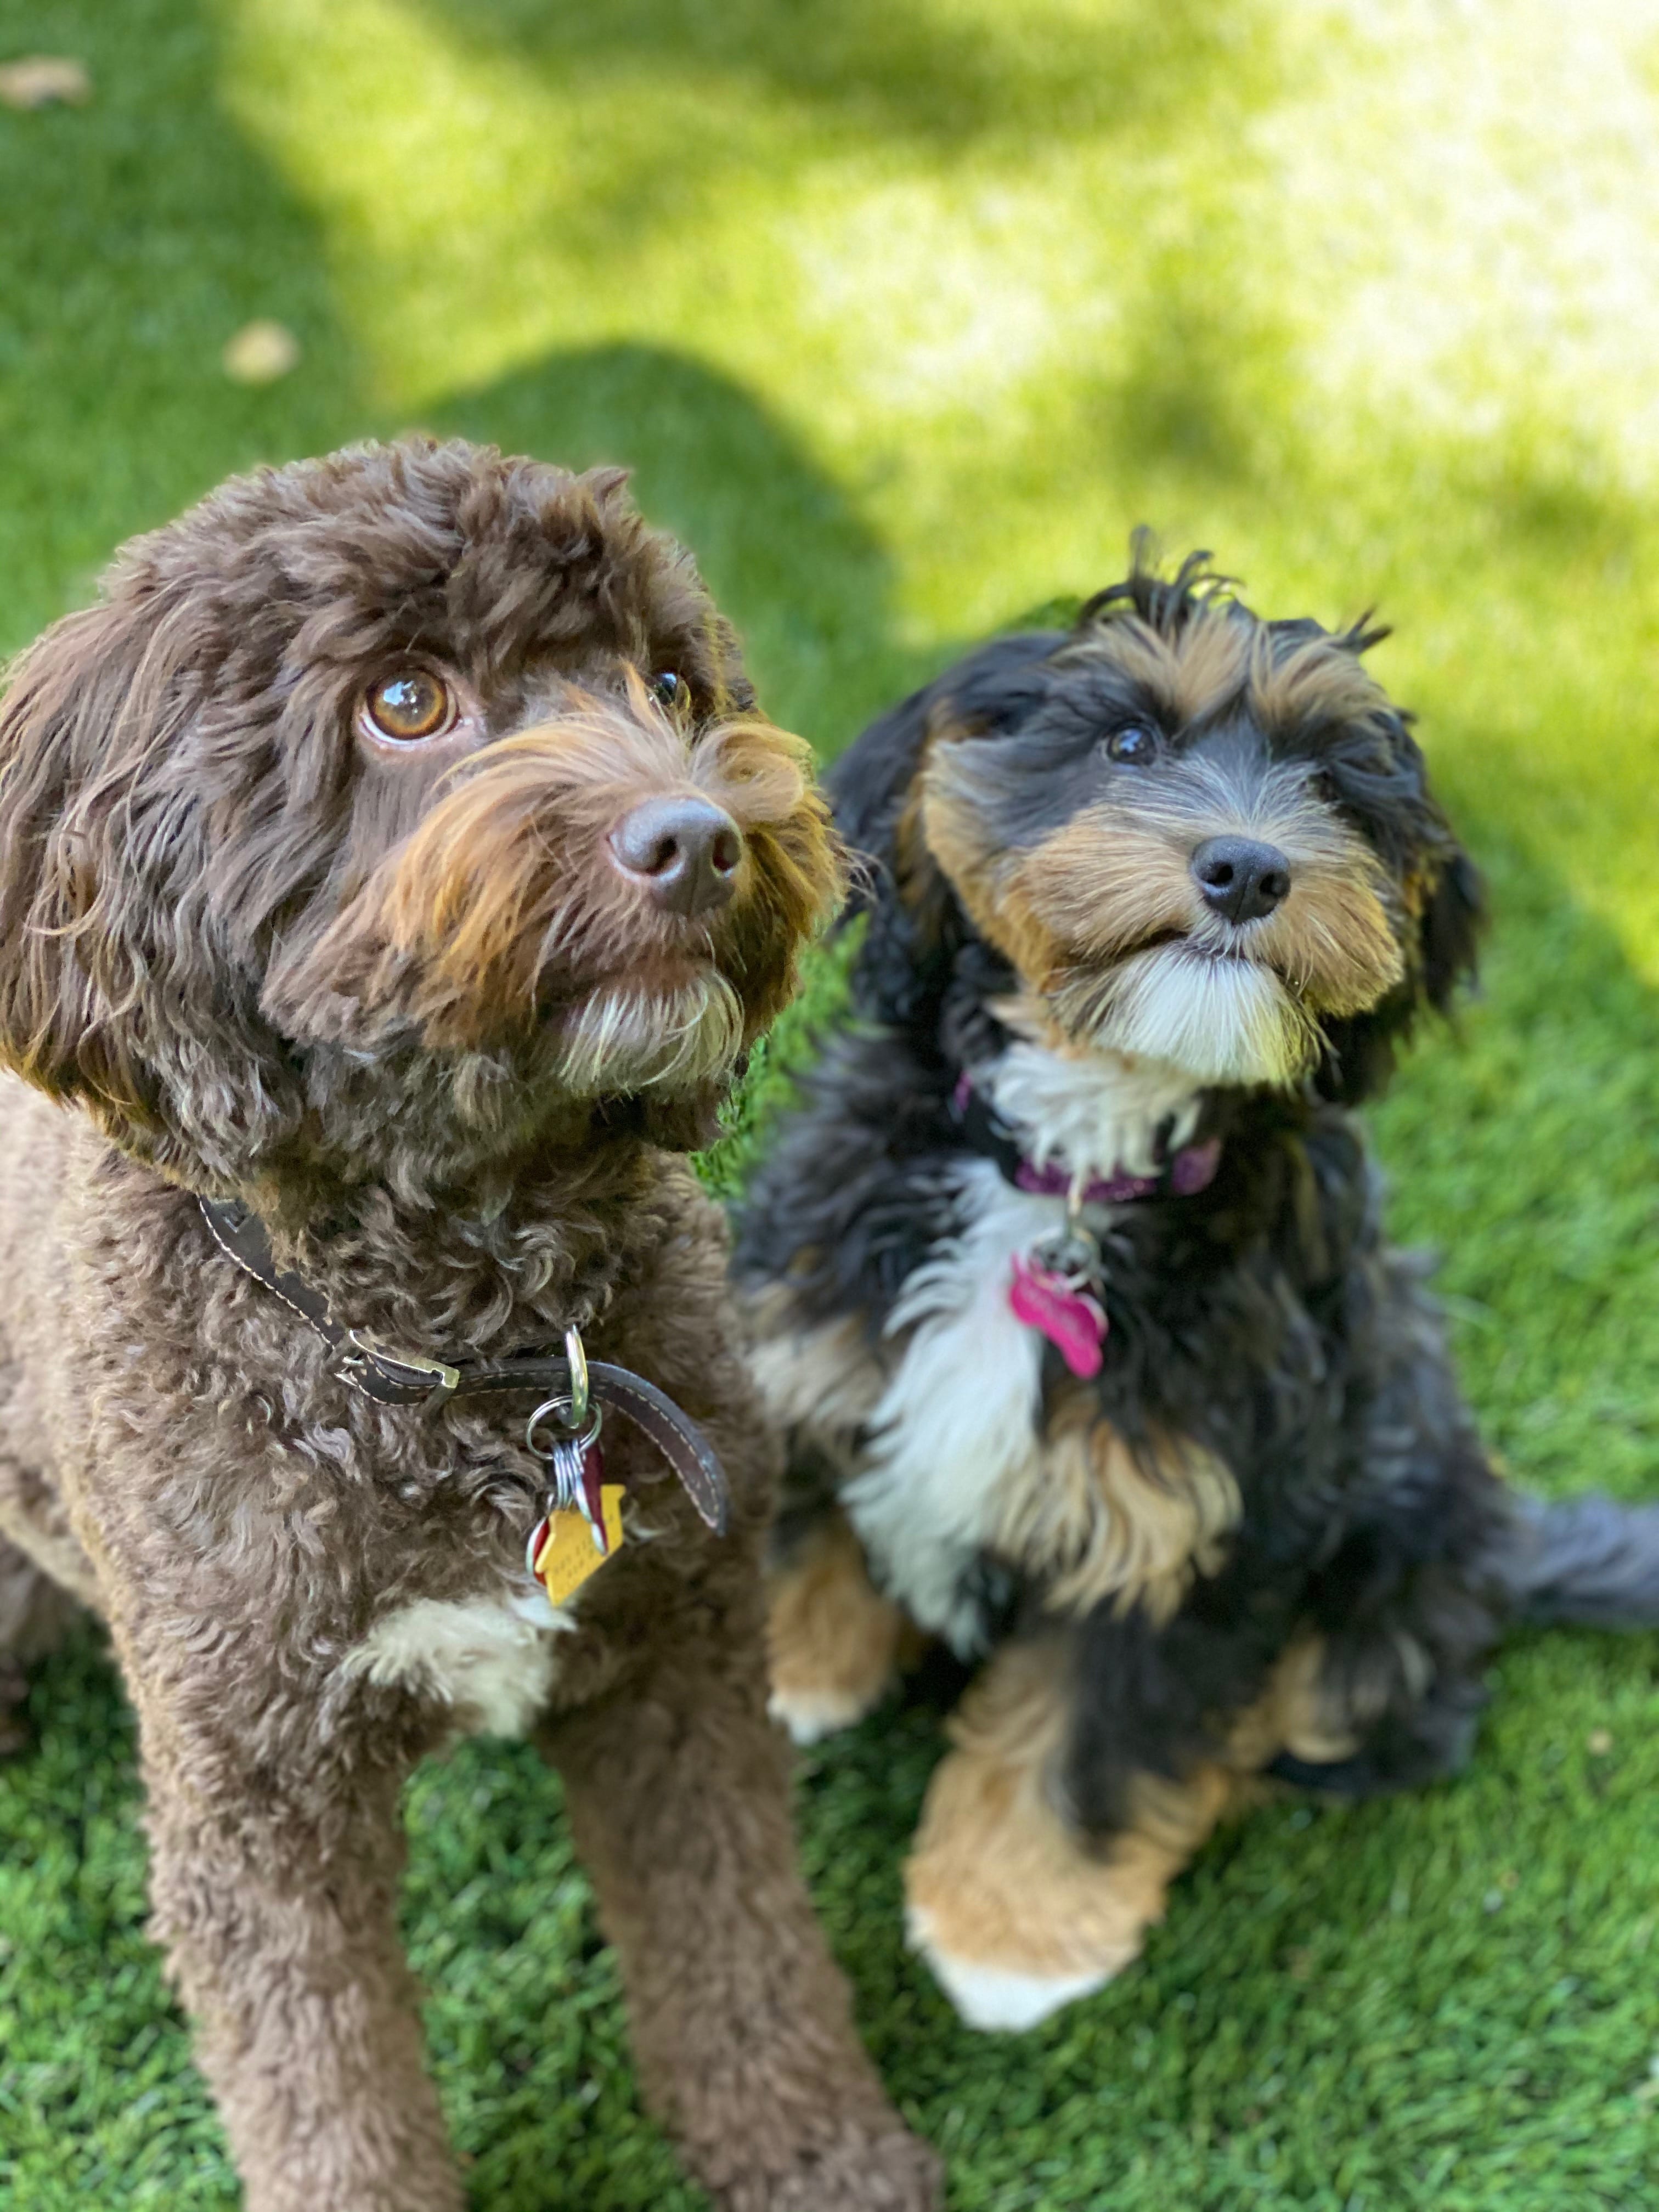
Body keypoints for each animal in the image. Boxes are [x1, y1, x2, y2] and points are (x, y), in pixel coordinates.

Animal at [0, 440, 942, 2212]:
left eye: (666, 682)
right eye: (406, 702)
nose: (700, 837)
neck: (466, 1349)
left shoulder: (680, 1664)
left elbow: (743, 1951)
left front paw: (815, 2154)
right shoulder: (256, 1803)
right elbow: (329, 2093)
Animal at [738, 548, 1659, 2026]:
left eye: (1335, 787)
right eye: (1127, 742)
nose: (1245, 865)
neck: (1070, 1178)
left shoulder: (1192, 1529)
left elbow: (1095, 1739)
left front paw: (1010, 1937)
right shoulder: (821, 1342)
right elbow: (806, 1527)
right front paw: (793, 1679)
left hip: (1397, 1561)